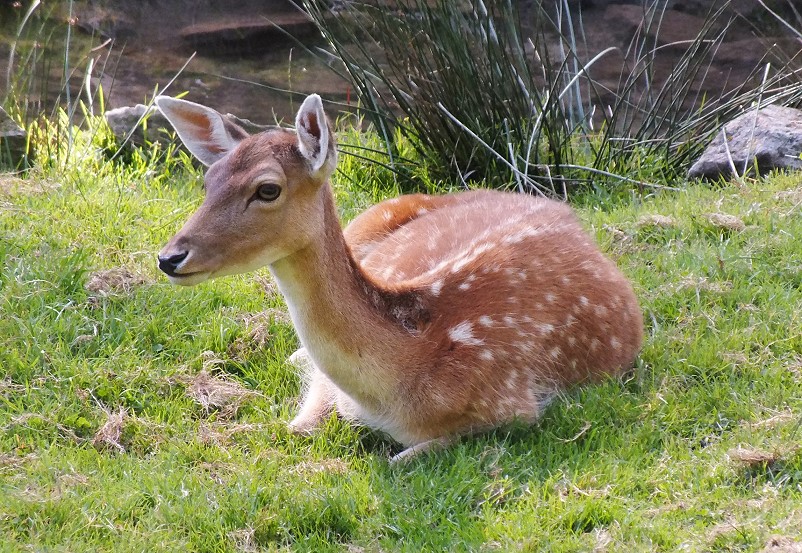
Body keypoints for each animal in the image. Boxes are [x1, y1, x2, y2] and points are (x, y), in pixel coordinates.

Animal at [156, 92, 644, 460]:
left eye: (268, 189)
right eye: (208, 181)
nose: (169, 257)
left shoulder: (515, 404)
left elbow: (404, 455)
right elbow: (299, 425)